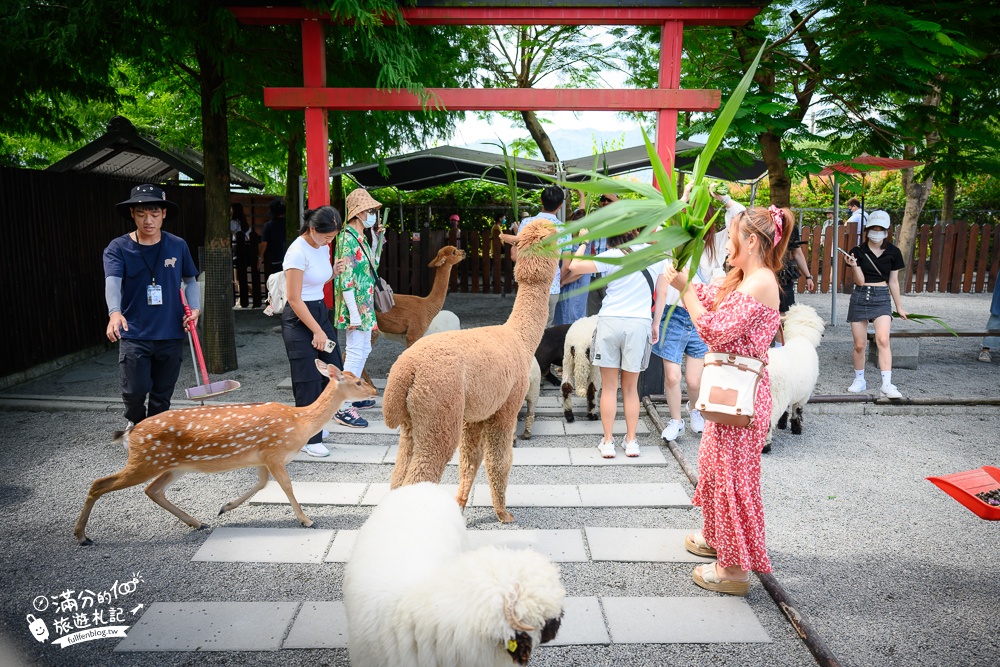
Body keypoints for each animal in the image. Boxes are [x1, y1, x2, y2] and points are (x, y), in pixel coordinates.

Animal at [72, 362, 374, 544]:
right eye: (357, 381)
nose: (373, 391)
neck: (299, 423)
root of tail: (130, 434)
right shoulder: (275, 452)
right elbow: (287, 486)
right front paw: (307, 520)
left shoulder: (262, 457)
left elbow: (262, 484)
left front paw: (225, 507)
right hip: (145, 460)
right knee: (99, 483)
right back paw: (82, 536)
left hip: (172, 466)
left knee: (152, 490)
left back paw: (198, 522)